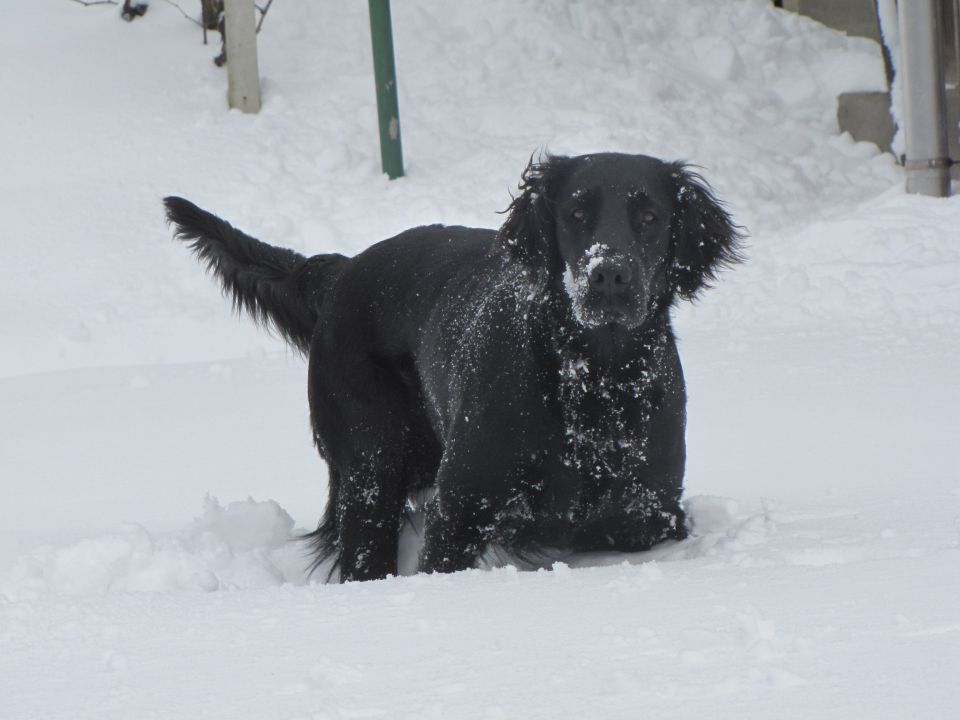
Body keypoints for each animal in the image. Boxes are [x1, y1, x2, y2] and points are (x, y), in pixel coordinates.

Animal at [165, 152, 740, 580]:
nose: (610, 275)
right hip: (371, 466)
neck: (591, 379)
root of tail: (343, 271)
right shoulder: (460, 510)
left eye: (650, 217)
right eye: (576, 214)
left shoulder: (650, 513)